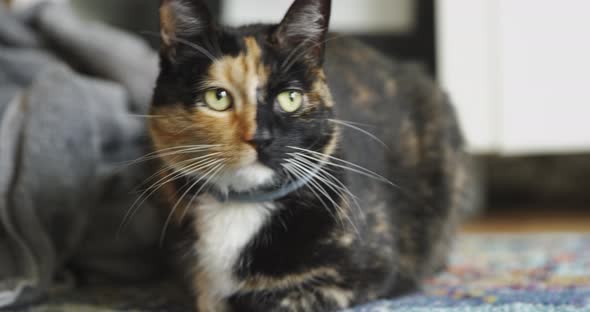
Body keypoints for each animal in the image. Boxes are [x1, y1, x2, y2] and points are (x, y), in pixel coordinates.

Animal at [150, 0, 474, 312]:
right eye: (218, 97)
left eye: (290, 98)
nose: (261, 138)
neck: (241, 207)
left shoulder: (370, 273)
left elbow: (273, 299)